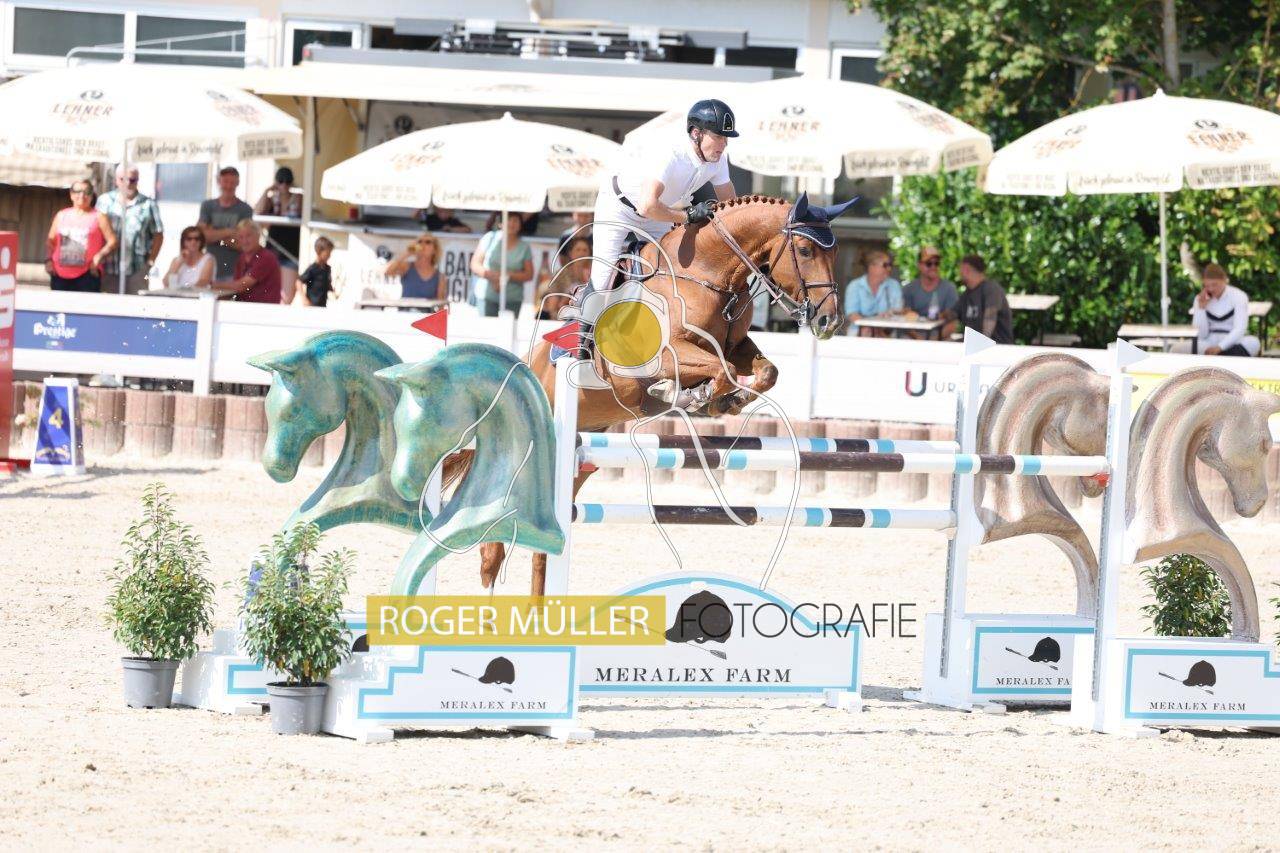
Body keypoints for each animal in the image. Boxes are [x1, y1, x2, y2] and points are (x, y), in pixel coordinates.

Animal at [467, 193, 852, 594]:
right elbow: (721, 371)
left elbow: (763, 371)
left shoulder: (735, 346)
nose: (829, 321)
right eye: (805, 250)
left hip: (576, 462)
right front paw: (687, 395)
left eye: (837, 252)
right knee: (495, 534)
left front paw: (728, 400)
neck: (706, 273)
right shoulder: (666, 356)